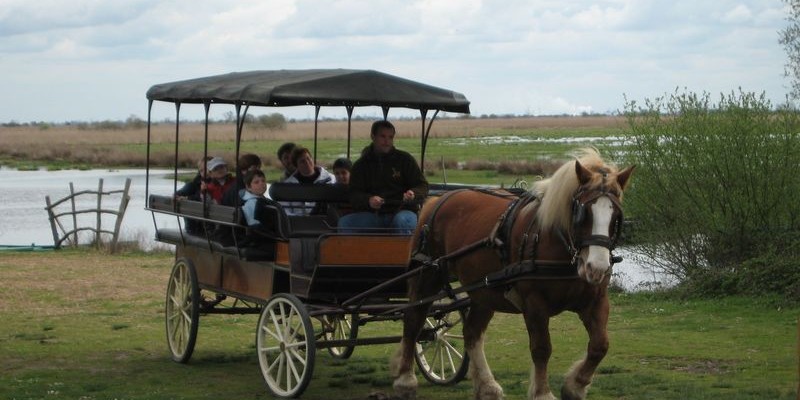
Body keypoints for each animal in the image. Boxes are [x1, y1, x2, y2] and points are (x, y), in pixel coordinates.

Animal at [390, 148, 636, 398]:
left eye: (616, 216)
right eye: (582, 214)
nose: (596, 268)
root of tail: (437, 199)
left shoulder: (595, 301)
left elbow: (600, 345)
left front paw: (575, 385)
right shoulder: (535, 304)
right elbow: (541, 348)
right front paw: (543, 392)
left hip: (483, 293)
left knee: (471, 333)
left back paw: (487, 385)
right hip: (426, 277)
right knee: (413, 321)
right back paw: (405, 379)